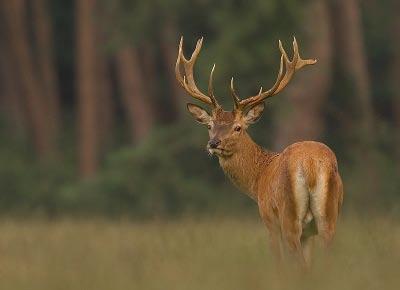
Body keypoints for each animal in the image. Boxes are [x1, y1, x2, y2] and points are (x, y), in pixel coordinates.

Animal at [175, 36, 344, 268]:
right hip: (329, 218)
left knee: (296, 261)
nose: (213, 143)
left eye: (238, 127)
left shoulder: (269, 220)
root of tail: (310, 165)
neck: (257, 180)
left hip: (288, 217)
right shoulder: (308, 234)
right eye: (210, 126)